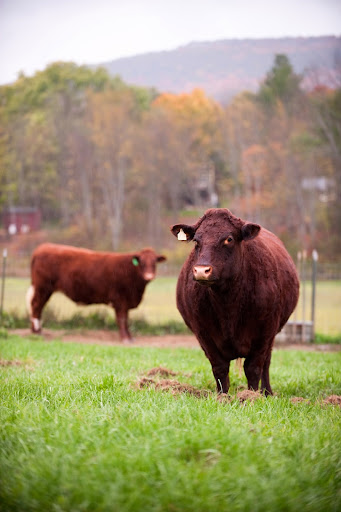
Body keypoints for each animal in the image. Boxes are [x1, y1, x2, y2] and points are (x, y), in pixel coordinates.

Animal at [25, 245, 165, 344]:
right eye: (142, 262)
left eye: (154, 263)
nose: (149, 276)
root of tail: (43, 247)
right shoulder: (120, 300)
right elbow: (122, 319)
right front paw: (125, 338)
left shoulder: (126, 301)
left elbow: (126, 320)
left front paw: (130, 337)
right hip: (43, 288)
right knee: (36, 306)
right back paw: (36, 331)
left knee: (38, 307)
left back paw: (37, 330)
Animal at [170, 208, 298, 396]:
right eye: (196, 240)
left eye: (228, 239)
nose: (201, 270)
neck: (228, 305)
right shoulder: (203, 333)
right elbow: (220, 368)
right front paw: (222, 396)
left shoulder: (265, 331)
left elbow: (253, 368)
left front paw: (251, 396)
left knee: (266, 362)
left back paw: (267, 392)